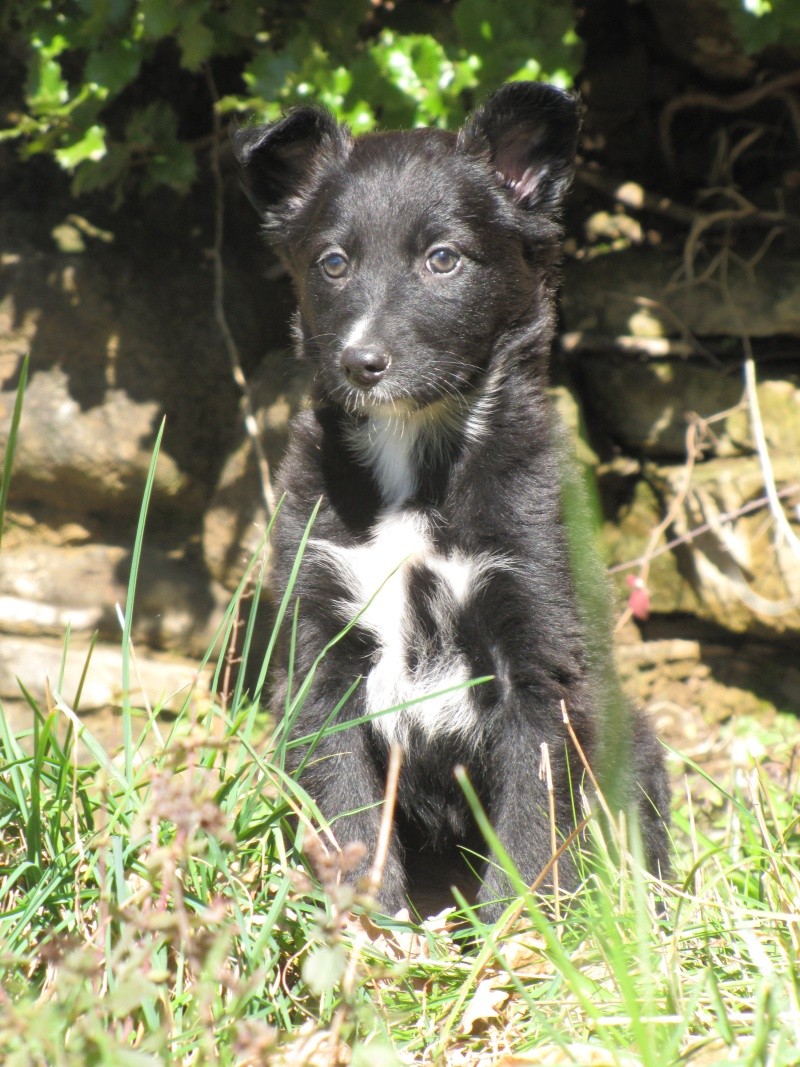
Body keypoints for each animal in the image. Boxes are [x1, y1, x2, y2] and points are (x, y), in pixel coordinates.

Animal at [233, 81, 669, 917]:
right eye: (333, 263)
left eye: (443, 260)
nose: (362, 362)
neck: (416, 462)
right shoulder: (321, 644)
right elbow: (346, 802)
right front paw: (369, 919)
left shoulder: (539, 654)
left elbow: (531, 821)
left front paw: (517, 931)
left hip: (636, 746)